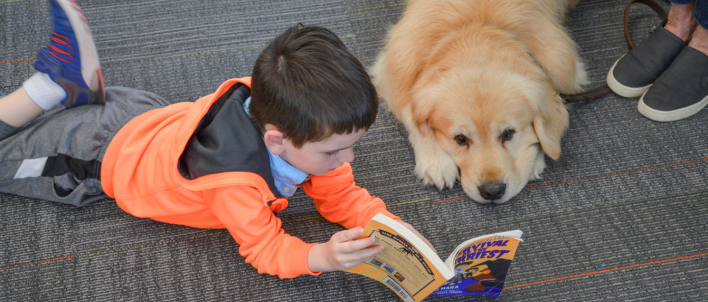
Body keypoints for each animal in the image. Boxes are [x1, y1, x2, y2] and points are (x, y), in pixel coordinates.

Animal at [374, 0, 588, 204]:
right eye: (460, 139)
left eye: (508, 134)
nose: (492, 191)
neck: (476, 29)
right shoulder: (394, 73)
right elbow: (413, 116)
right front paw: (436, 161)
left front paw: (533, 159)